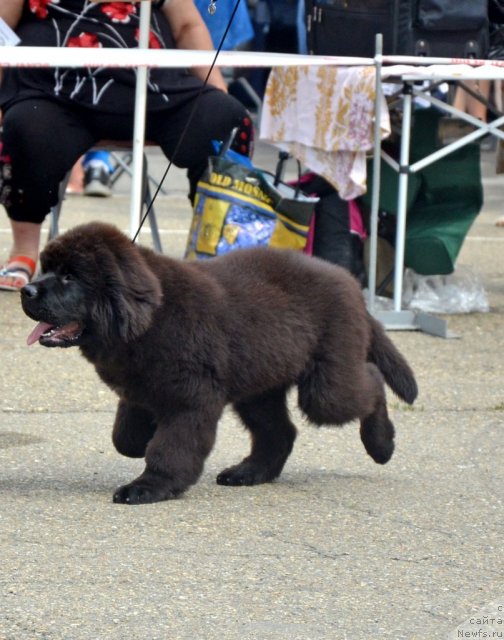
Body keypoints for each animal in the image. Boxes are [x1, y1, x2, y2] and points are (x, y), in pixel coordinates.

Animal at [21, 220, 418, 504]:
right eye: (46, 268)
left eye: (69, 276)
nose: (26, 290)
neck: (150, 319)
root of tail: (351, 284)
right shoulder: (137, 389)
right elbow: (124, 438)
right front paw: (140, 442)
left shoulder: (191, 399)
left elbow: (171, 448)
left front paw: (149, 487)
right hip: (260, 387)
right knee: (279, 432)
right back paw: (248, 473)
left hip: (326, 387)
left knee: (370, 381)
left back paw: (382, 445)